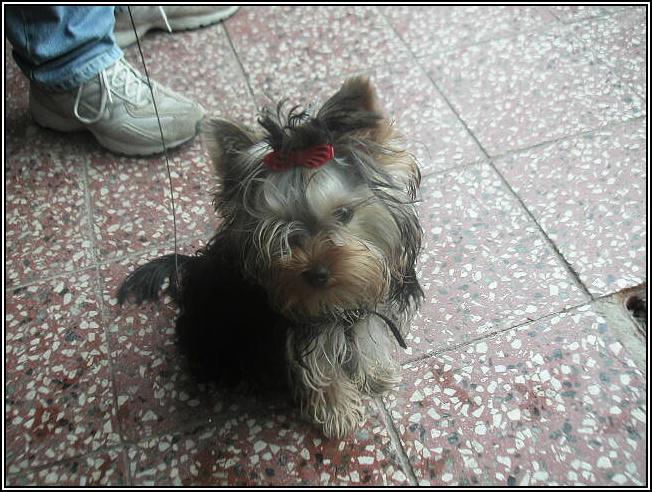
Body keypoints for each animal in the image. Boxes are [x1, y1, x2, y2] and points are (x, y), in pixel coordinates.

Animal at [117, 76, 423, 438]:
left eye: (344, 214)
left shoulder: (363, 309)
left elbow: (364, 337)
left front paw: (374, 374)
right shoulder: (296, 334)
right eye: (282, 230)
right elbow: (318, 368)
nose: (317, 274)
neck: (337, 303)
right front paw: (337, 411)